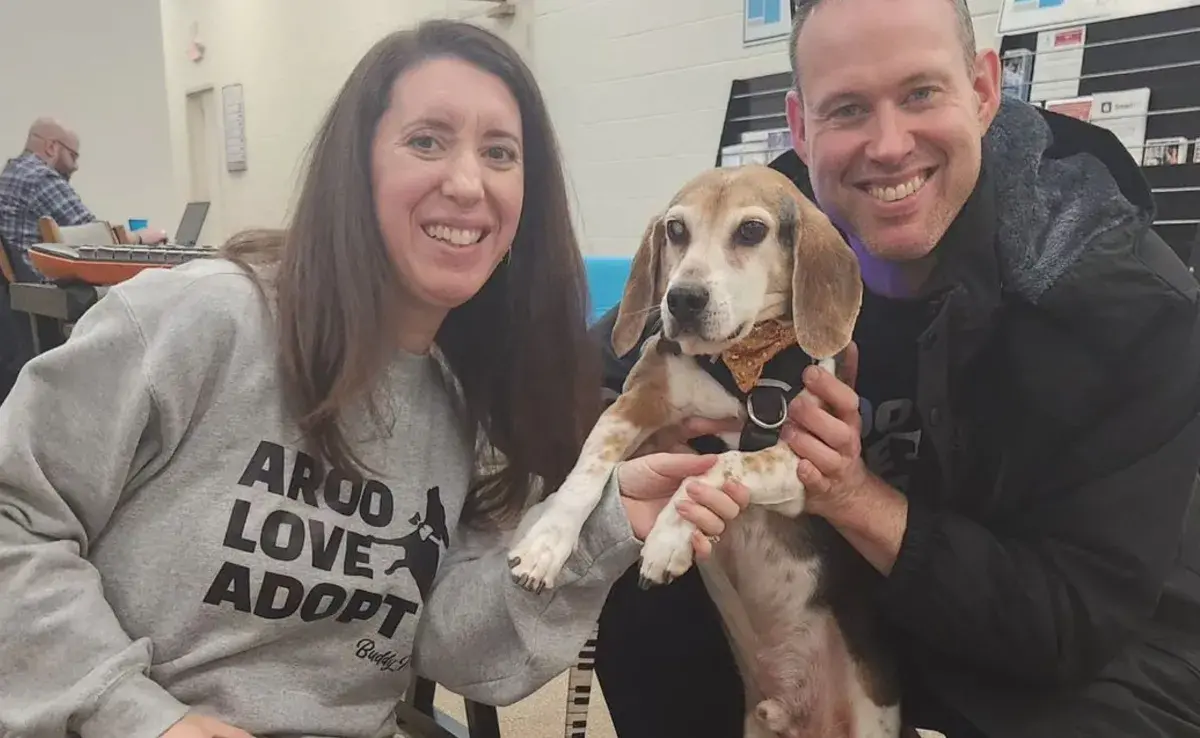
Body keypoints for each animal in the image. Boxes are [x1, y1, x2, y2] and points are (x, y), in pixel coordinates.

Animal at [506, 164, 902, 734]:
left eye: (751, 231)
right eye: (675, 230)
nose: (682, 299)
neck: (740, 362)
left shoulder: (801, 463)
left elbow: (722, 465)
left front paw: (668, 539)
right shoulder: (636, 403)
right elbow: (588, 471)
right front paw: (545, 544)